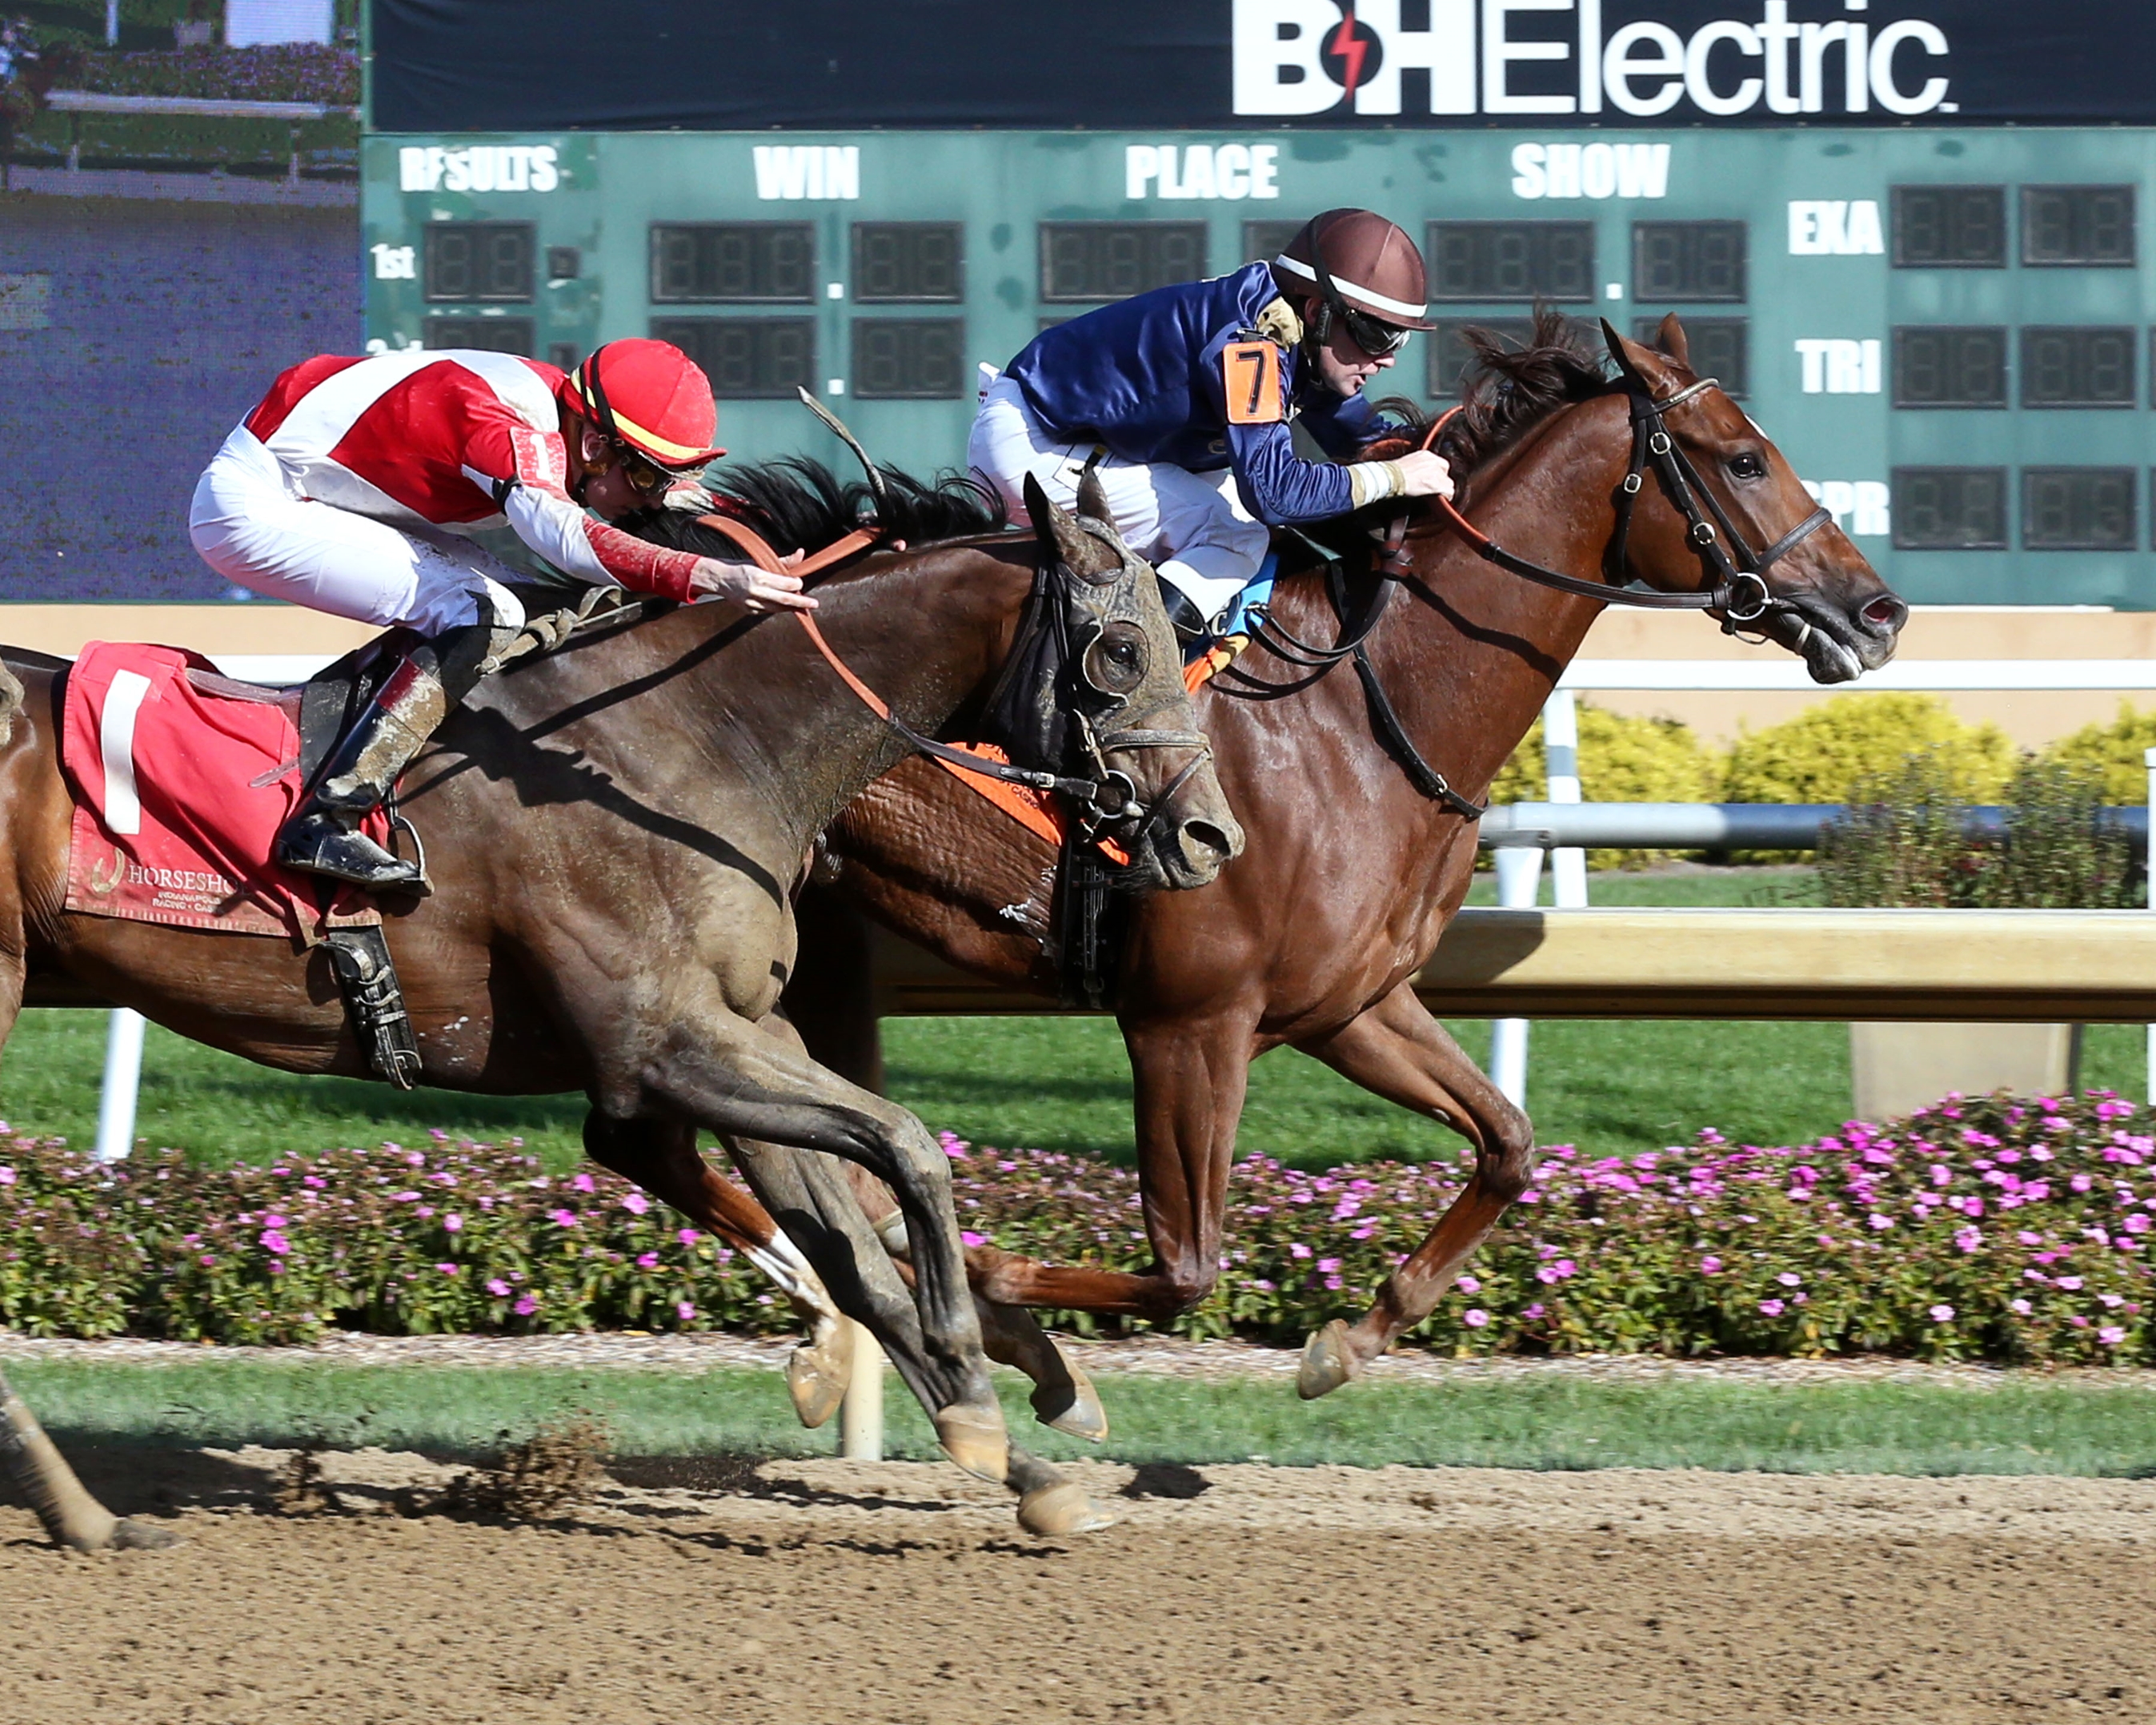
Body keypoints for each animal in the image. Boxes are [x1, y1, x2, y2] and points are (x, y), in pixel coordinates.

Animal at [0, 479, 1232, 1543]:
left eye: (1177, 634)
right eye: (1122, 650)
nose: (1209, 834)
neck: (696, 739)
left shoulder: (740, 1031)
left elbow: (852, 1247)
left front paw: (1024, 1459)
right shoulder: (661, 1047)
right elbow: (908, 1145)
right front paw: (980, 1384)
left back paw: (83, 1511)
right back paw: (82, 1512)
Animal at [668, 310, 1906, 1414]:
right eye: (1743, 457)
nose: (1878, 611)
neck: (1364, 712)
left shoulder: (1348, 1004)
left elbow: (1506, 1144)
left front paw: (1347, 1341)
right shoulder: (1188, 1023)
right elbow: (1184, 1267)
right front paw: (1000, 1297)